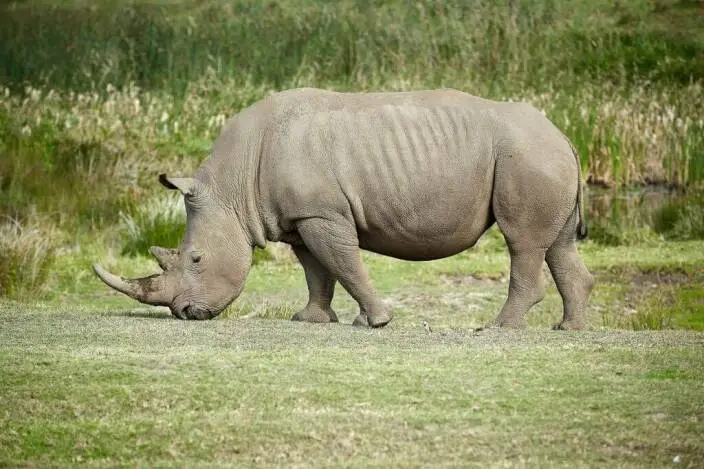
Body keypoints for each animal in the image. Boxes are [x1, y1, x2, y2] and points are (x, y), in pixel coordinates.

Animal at [94, 88, 594, 329]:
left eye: (196, 259)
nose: (184, 313)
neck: (232, 189)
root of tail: (564, 134)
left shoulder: (322, 213)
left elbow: (344, 263)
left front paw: (377, 321)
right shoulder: (300, 217)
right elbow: (317, 271)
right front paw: (311, 320)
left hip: (526, 155)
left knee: (522, 241)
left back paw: (499, 328)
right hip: (540, 154)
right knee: (558, 244)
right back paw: (568, 329)